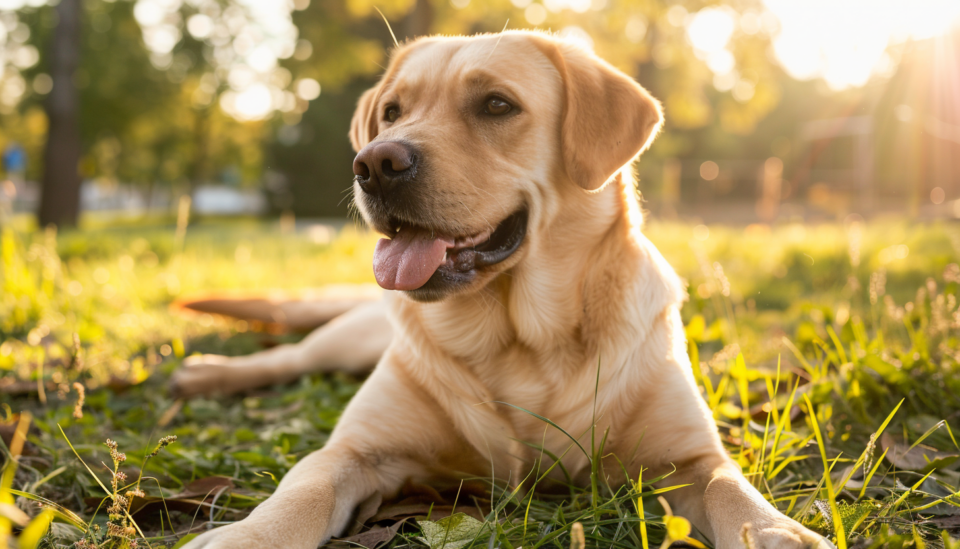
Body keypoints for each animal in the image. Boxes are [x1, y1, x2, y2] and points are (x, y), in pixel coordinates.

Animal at [176, 31, 836, 548]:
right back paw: (209, 372)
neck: (521, 336)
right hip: (344, 341)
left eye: (496, 104)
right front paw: (248, 536)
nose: (373, 164)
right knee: (290, 355)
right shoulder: (356, 451)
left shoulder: (691, 458)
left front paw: (779, 532)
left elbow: (732, 491)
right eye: (392, 111)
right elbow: (304, 488)